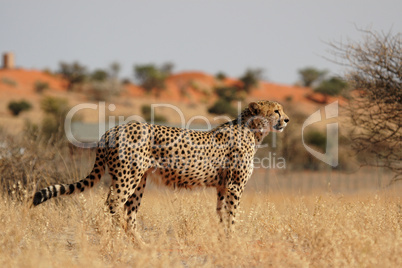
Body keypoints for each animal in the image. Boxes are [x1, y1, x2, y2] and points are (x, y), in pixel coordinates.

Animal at [31, 101, 288, 238]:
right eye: (276, 110)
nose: (287, 120)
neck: (252, 130)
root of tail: (112, 129)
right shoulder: (234, 186)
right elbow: (232, 215)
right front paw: (232, 239)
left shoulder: (223, 186)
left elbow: (221, 214)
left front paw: (222, 237)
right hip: (127, 177)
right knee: (112, 203)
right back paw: (115, 236)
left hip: (138, 181)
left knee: (130, 213)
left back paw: (140, 244)